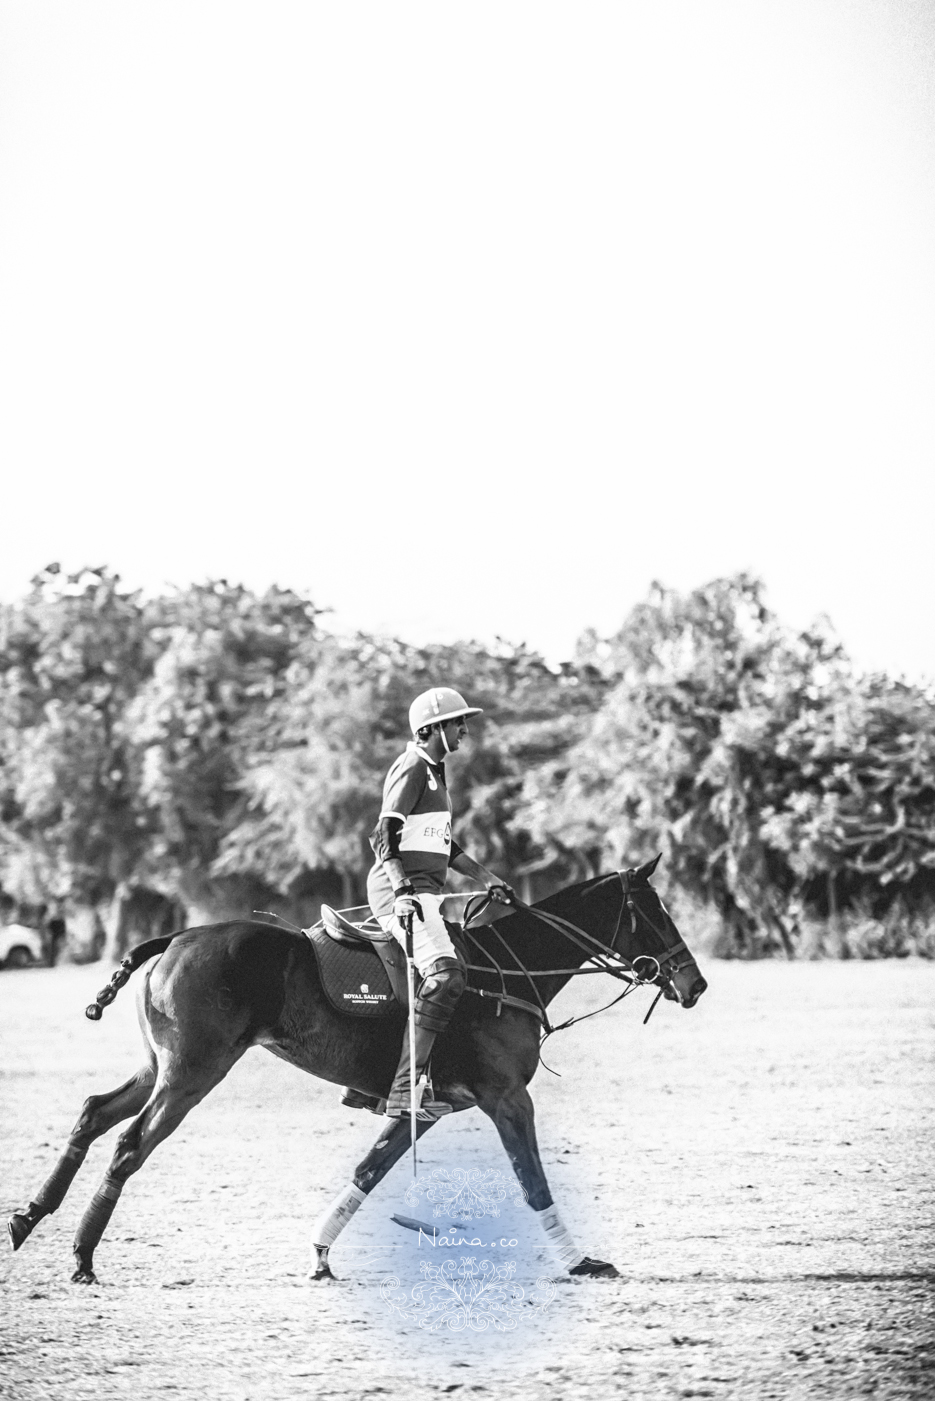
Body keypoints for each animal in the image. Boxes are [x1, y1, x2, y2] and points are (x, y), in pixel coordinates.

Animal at [9, 851, 709, 1283]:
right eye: (653, 914)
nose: (695, 984)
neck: (512, 968)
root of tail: (175, 937)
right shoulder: (506, 1096)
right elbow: (533, 1181)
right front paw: (580, 1261)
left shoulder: (424, 1107)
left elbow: (368, 1171)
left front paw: (320, 1256)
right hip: (193, 1072)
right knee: (129, 1144)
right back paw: (81, 1255)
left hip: (160, 1066)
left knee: (92, 1113)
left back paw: (28, 1218)